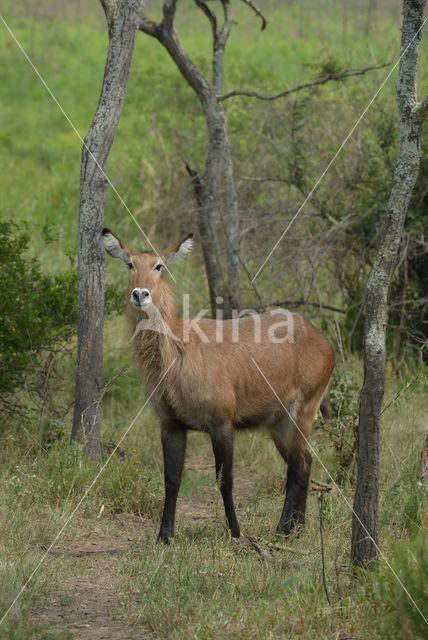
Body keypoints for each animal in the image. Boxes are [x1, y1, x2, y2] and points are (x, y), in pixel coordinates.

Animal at [103, 229, 334, 540]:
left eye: (159, 266)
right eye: (129, 263)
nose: (140, 294)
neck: (178, 351)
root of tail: (321, 338)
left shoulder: (222, 422)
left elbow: (225, 479)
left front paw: (235, 531)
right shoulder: (171, 424)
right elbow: (171, 479)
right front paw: (164, 535)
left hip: (301, 411)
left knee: (297, 466)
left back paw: (282, 529)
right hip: (277, 422)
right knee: (304, 461)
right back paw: (295, 528)